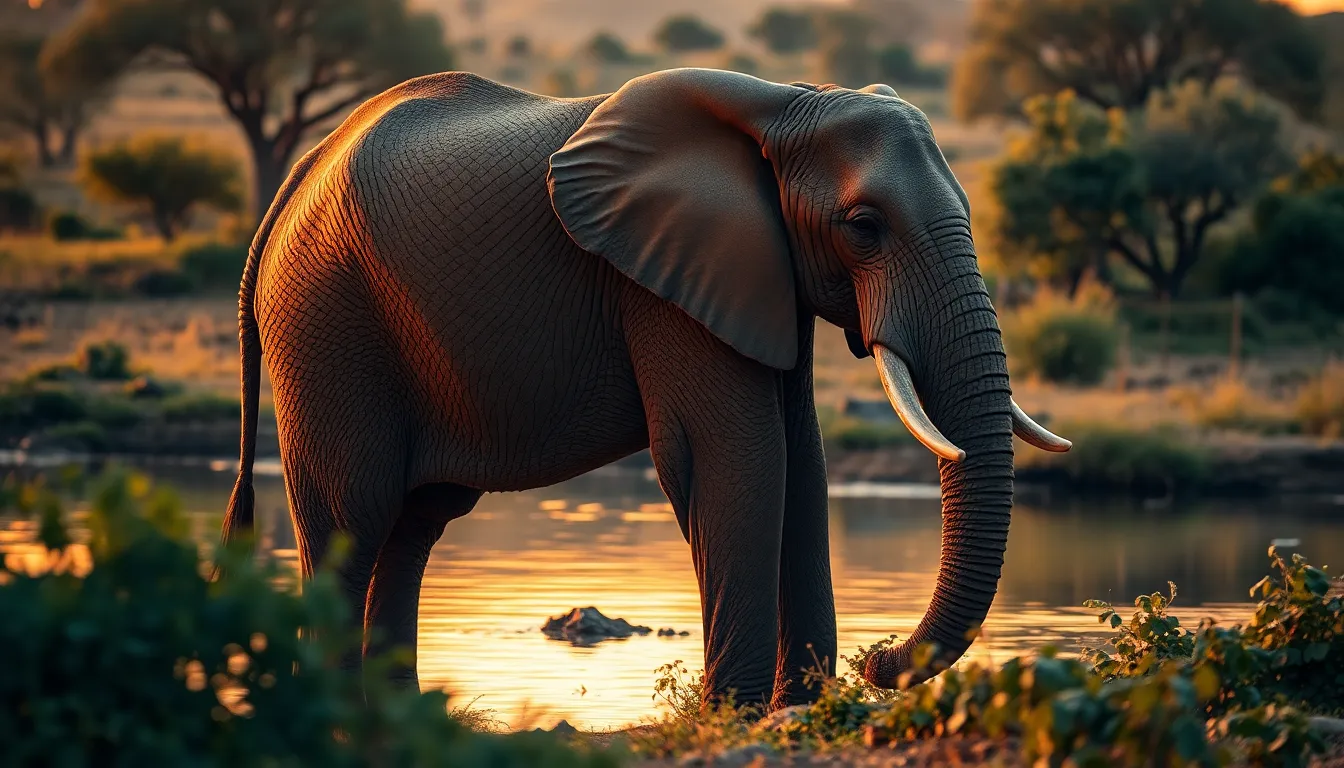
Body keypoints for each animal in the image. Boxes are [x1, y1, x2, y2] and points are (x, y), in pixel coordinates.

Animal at [221, 67, 1070, 711]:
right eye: (863, 225)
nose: (879, 658)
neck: (783, 105)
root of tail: (293, 183)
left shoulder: (760, 276)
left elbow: (803, 465)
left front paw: (794, 709)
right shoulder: (661, 287)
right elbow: (737, 460)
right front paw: (735, 716)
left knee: (412, 527)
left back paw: (396, 719)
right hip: (325, 323)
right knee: (353, 519)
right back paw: (335, 718)